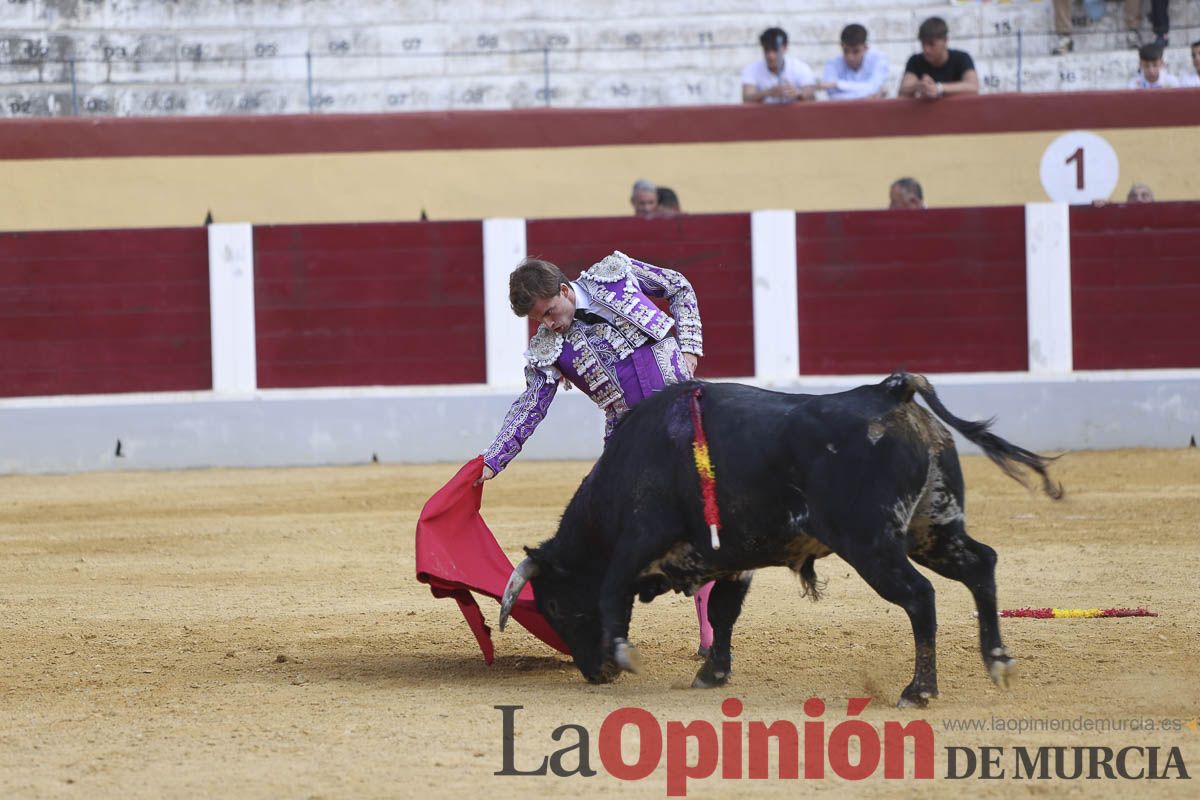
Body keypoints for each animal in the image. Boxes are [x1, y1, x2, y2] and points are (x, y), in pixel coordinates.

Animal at [496, 376, 1060, 705]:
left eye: (555, 606)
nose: (596, 675)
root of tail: (890, 391)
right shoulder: (731, 557)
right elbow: (722, 611)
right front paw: (711, 675)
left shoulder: (639, 538)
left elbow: (613, 591)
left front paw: (625, 653)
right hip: (933, 528)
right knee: (981, 564)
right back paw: (997, 661)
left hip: (872, 544)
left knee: (921, 597)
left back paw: (919, 691)